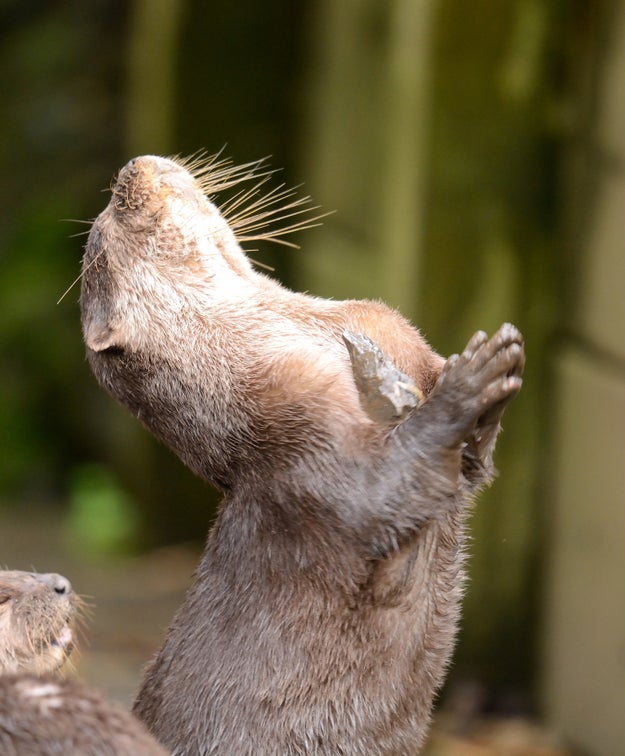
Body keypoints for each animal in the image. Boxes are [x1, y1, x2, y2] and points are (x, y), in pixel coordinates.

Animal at [80, 152, 524, 752]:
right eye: (110, 231)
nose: (127, 170)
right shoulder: (300, 449)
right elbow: (382, 492)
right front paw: (471, 379)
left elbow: (474, 464)